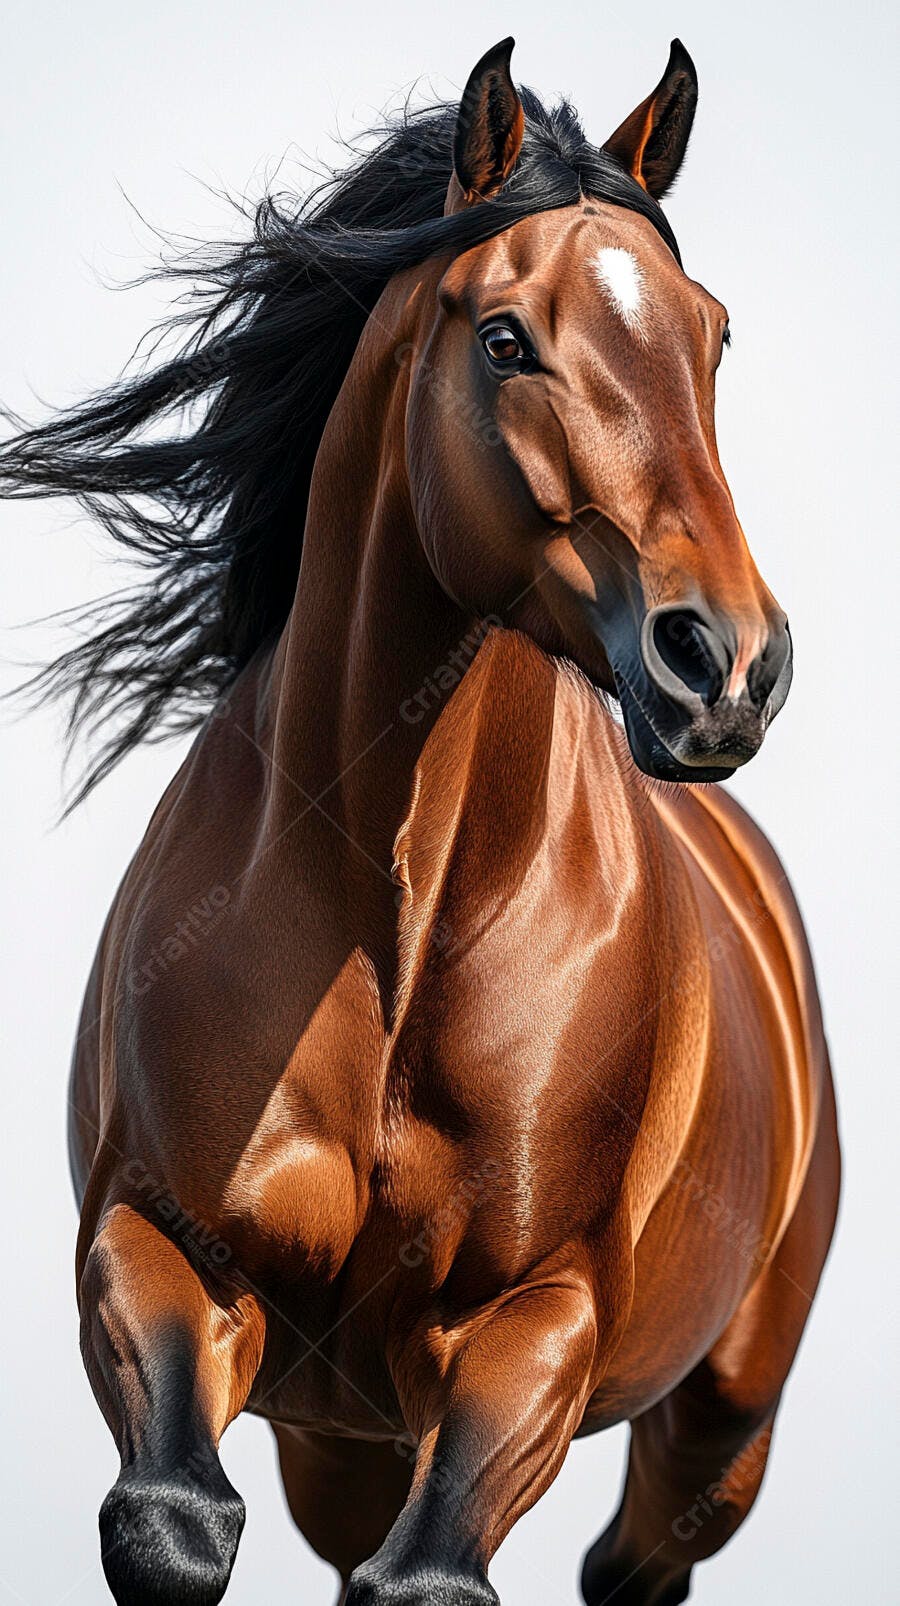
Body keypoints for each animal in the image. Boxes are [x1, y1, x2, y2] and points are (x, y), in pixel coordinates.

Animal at [1, 37, 840, 1606]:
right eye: (506, 339)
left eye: (711, 336)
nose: (728, 665)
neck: (391, 921)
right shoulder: (161, 1250)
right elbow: (173, 1521)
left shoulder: (526, 1321)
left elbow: (425, 1579)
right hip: (345, 1441)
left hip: (717, 1423)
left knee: (634, 1559)